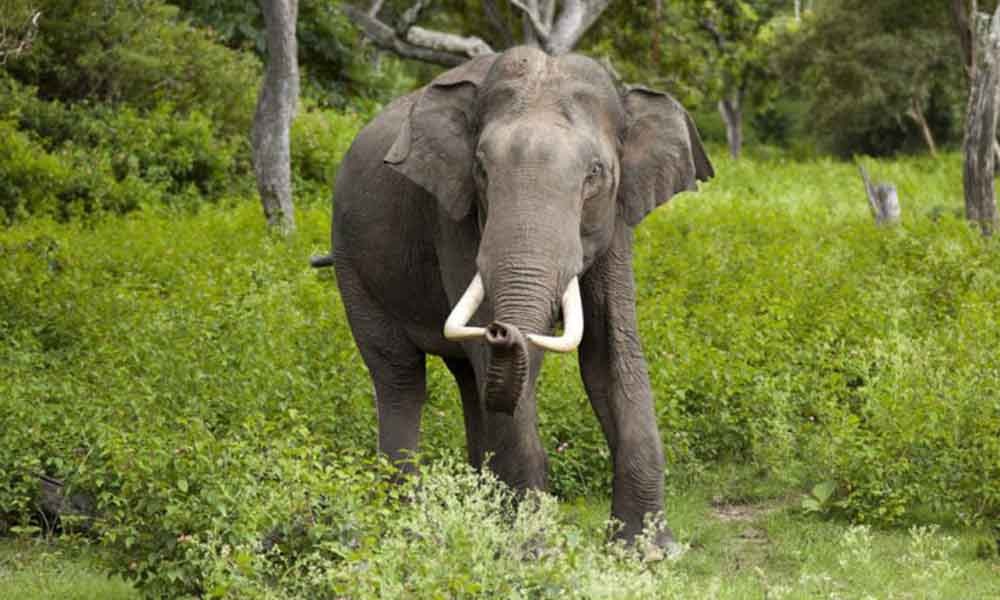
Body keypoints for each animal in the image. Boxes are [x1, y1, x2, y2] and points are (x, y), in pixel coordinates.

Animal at [312, 45, 712, 544]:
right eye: (482, 170)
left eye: (595, 174)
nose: (502, 330)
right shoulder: (452, 215)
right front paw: (531, 549)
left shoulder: (617, 219)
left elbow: (610, 351)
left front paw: (648, 550)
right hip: (352, 263)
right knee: (401, 377)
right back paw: (407, 525)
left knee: (469, 381)